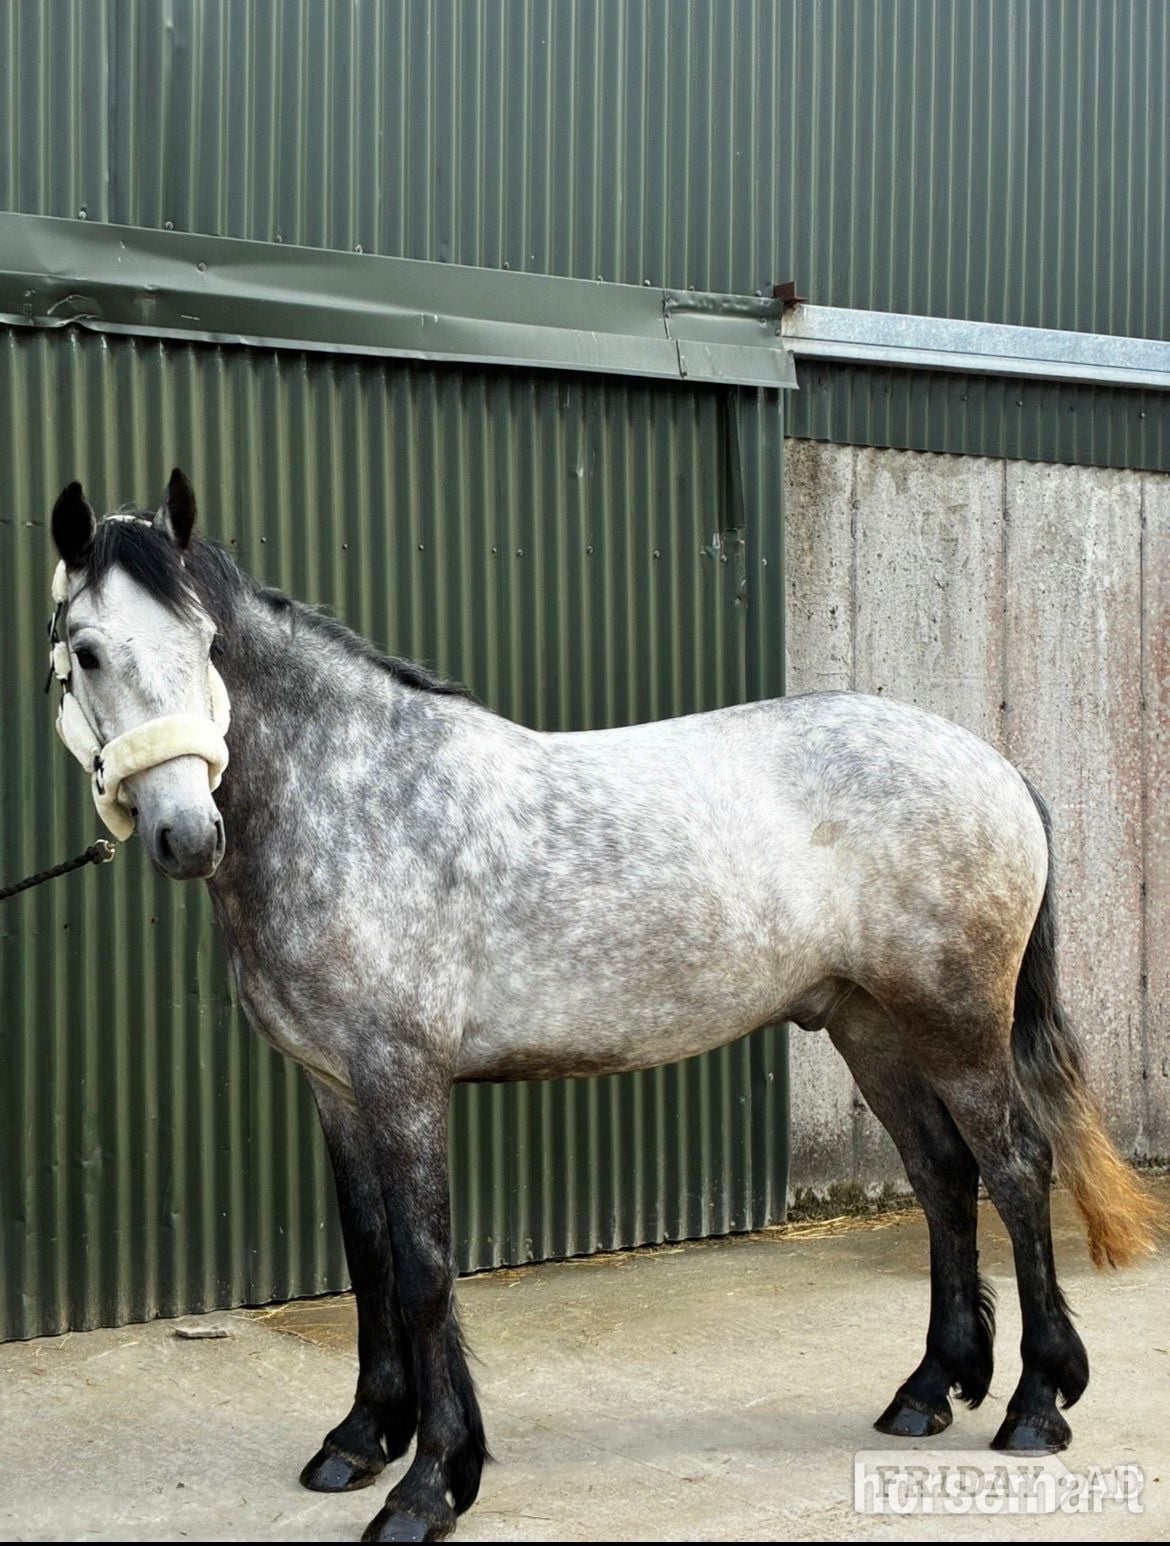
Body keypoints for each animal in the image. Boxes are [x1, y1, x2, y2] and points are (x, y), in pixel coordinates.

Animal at [48, 470, 1159, 1542]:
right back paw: (929, 1390)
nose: (187, 834)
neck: (358, 799)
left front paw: (430, 1486)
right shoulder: (336, 1087)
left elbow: (424, 1269)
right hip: (870, 1026)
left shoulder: (404, 1081)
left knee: (1016, 1170)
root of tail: (994, 766)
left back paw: (1036, 1405)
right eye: (87, 651)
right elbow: (369, 1260)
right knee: (941, 1175)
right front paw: (360, 1439)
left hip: (956, 1024)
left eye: (204, 645)